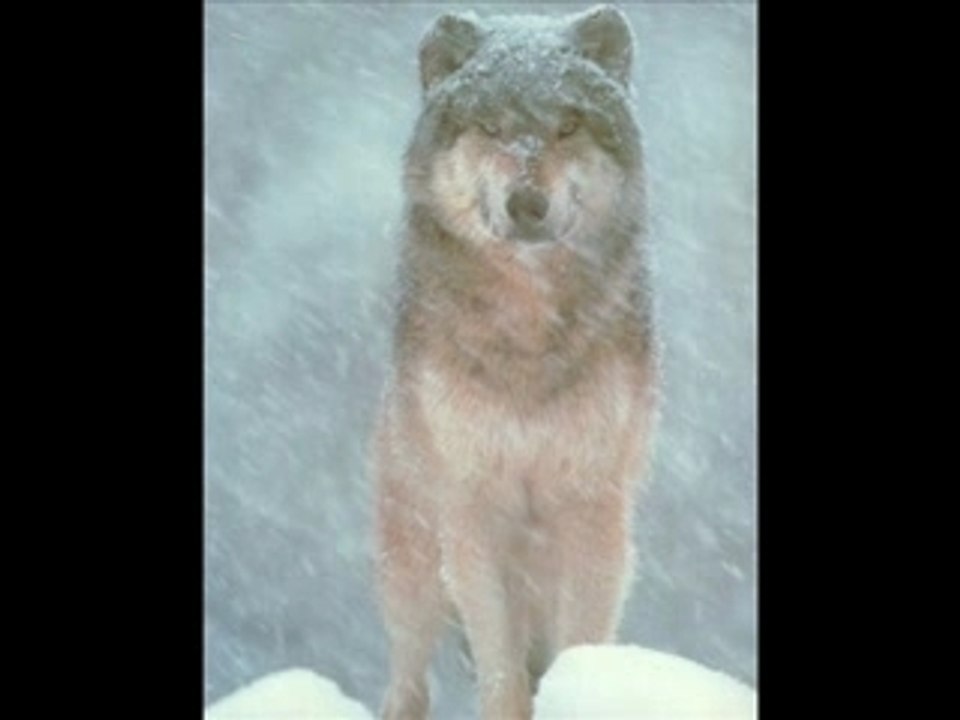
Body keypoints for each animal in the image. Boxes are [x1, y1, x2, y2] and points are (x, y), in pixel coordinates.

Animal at [373, 5, 657, 719]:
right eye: (492, 127)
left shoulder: (592, 508)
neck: (527, 329)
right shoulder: (472, 511)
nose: (527, 204)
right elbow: (500, 670)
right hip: (412, 563)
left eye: (567, 126)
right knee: (408, 673)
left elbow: (579, 645)